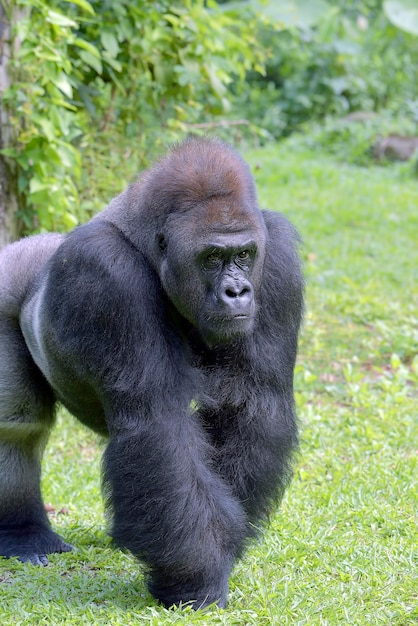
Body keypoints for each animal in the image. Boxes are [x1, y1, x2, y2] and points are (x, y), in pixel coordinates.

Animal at [0, 138, 302, 608]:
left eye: (244, 255)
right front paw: (196, 577)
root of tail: (29, 245)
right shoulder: (106, 270)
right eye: (211, 257)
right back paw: (24, 534)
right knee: (18, 427)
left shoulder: (278, 257)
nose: (237, 291)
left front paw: (220, 549)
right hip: (5, 285)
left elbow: (253, 405)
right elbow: (158, 424)